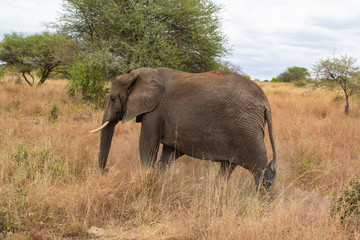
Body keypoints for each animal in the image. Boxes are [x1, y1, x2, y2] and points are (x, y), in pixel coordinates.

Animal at [91, 67, 278, 191]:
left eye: (112, 98)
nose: (106, 170)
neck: (134, 75)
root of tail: (266, 103)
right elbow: (168, 155)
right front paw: (158, 183)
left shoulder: (155, 112)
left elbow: (147, 146)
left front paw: (147, 183)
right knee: (228, 167)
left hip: (246, 128)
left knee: (261, 171)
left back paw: (263, 208)